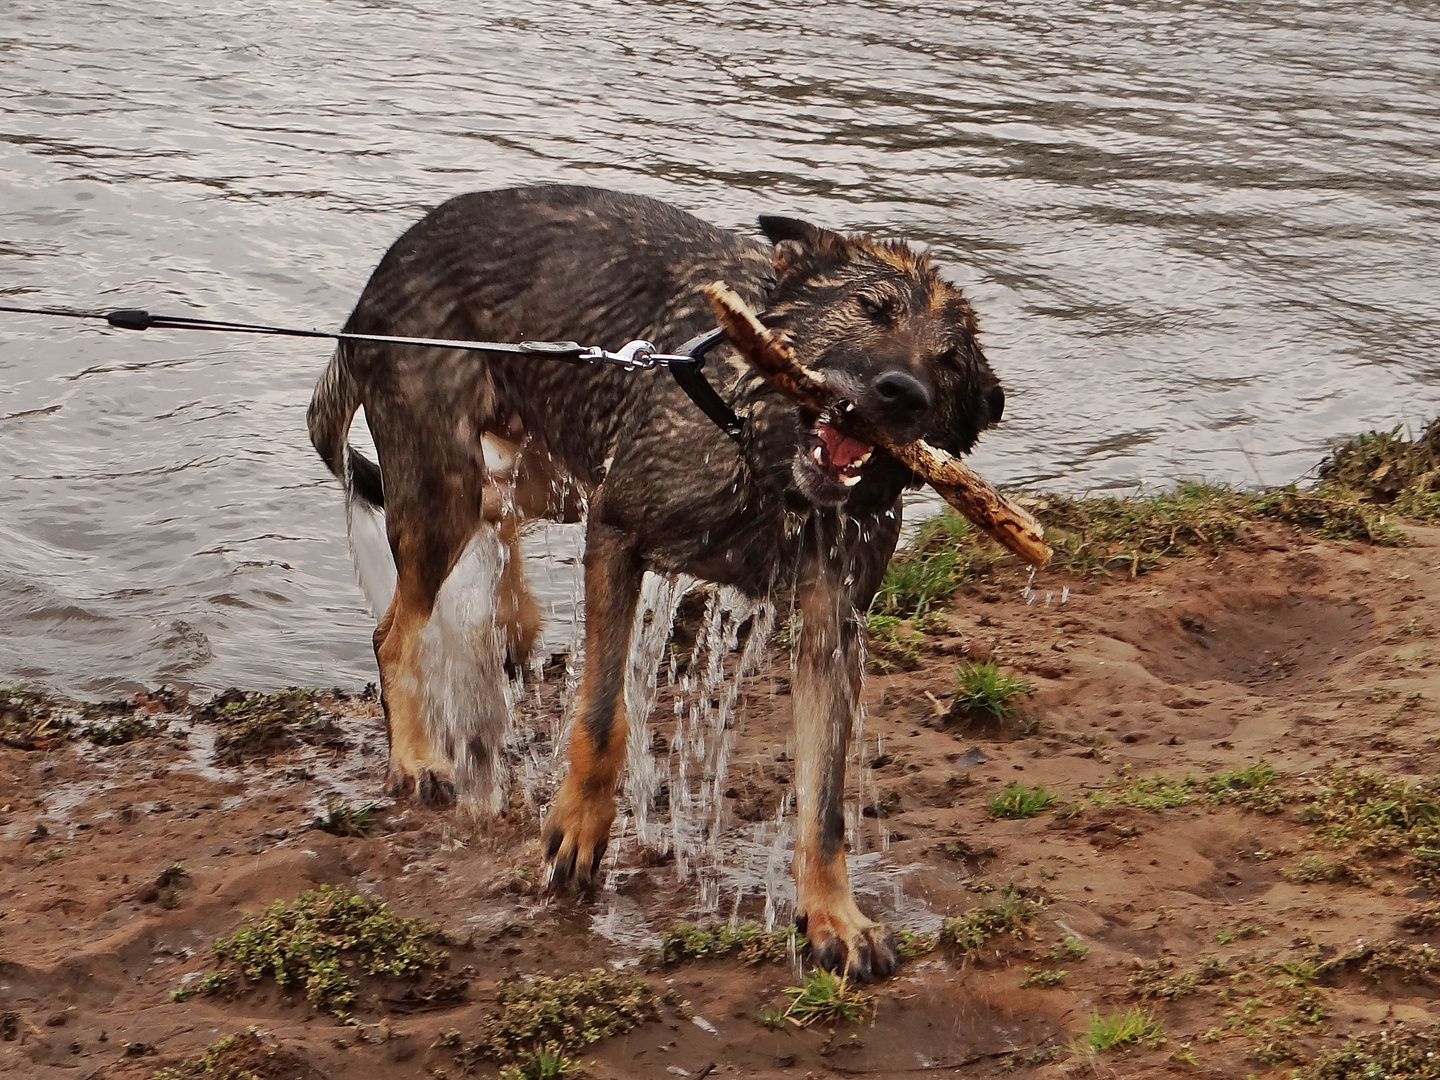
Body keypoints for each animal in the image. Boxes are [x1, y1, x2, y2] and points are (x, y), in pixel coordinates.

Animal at [306, 185, 1002, 979]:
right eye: (870, 308)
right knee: (396, 625)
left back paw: (513, 618)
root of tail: (381, 276)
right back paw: (417, 755)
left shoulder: (833, 627)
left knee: (495, 506)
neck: (768, 459)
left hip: (552, 468)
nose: (903, 393)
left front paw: (834, 915)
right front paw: (579, 826)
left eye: (950, 362)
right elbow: (604, 716)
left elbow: (824, 804)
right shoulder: (617, 537)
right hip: (449, 486)